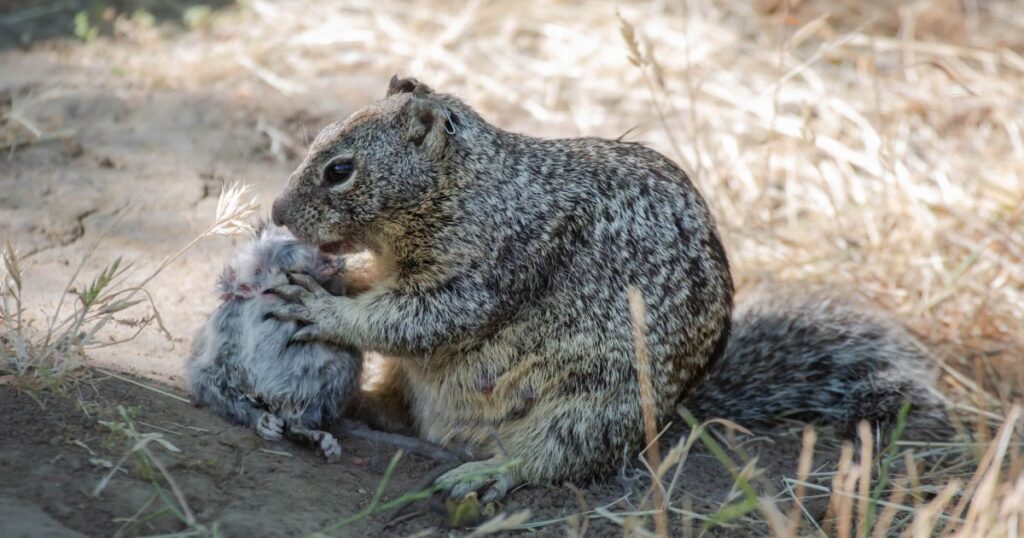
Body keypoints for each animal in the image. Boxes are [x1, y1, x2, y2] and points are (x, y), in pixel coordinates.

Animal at [264, 75, 942, 500]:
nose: (274, 212)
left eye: (340, 169)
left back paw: (486, 474)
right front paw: (331, 276)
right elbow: (381, 293)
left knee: (555, 461)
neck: (471, 187)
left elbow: (415, 320)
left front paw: (320, 307)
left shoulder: (485, 270)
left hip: (589, 408)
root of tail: (672, 417)